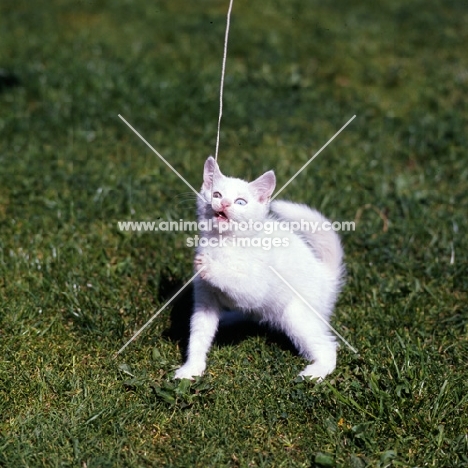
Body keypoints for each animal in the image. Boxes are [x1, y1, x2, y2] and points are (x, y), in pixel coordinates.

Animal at [175, 156, 344, 380]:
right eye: (216, 194)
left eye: (241, 202)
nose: (224, 203)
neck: (223, 243)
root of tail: (326, 277)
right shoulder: (205, 298)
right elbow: (199, 332)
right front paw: (192, 368)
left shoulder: (259, 285)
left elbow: (239, 282)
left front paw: (211, 267)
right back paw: (228, 318)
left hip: (295, 313)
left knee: (328, 346)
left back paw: (315, 372)